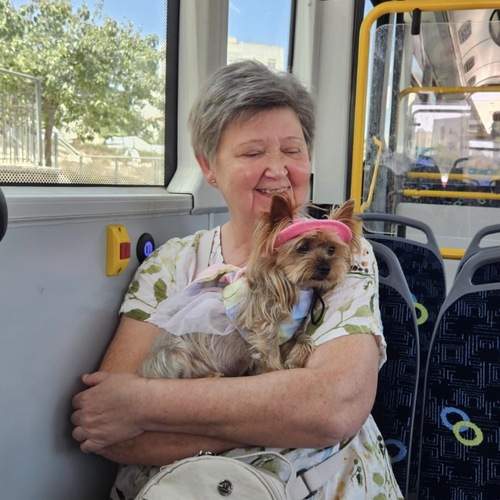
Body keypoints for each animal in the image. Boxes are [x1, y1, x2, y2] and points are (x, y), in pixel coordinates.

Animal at [140, 195, 361, 379]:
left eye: (332, 249)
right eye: (302, 247)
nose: (326, 268)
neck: (298, 288)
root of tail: (148, 368)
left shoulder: (292, 332)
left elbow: (304, 339)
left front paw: (294, 359)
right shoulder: (263, 326)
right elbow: (270, 353)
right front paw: (276, 369)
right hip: (177, 354)